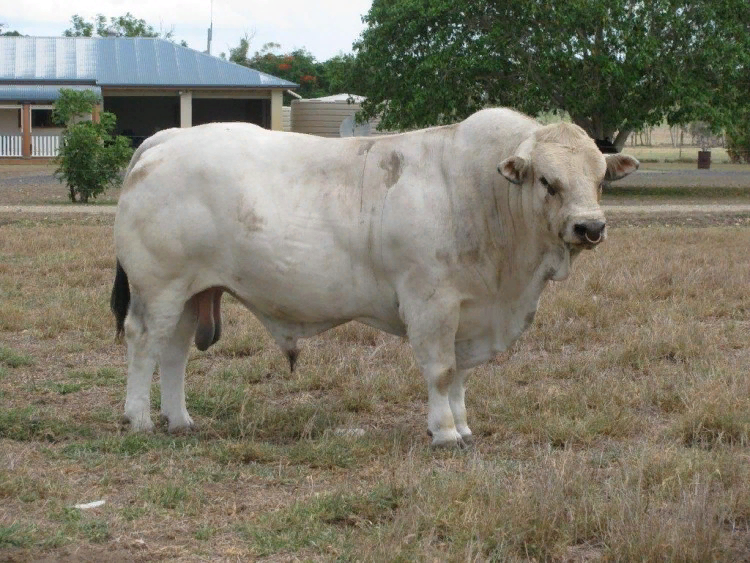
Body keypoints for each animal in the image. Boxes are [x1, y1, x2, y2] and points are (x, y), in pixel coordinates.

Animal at [111, 108, 640, 448]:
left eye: (599, 179)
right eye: (548, 181)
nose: (590, 228)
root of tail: (167, 138)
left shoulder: (469, 312)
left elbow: (460, 375)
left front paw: (462, 425)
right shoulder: (431, 304)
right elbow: (441, 370)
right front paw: (444, 433)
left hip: (191, 292)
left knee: (174, 351)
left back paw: (180, 420)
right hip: (158, 289)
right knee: (143, 342)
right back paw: (139, 418)